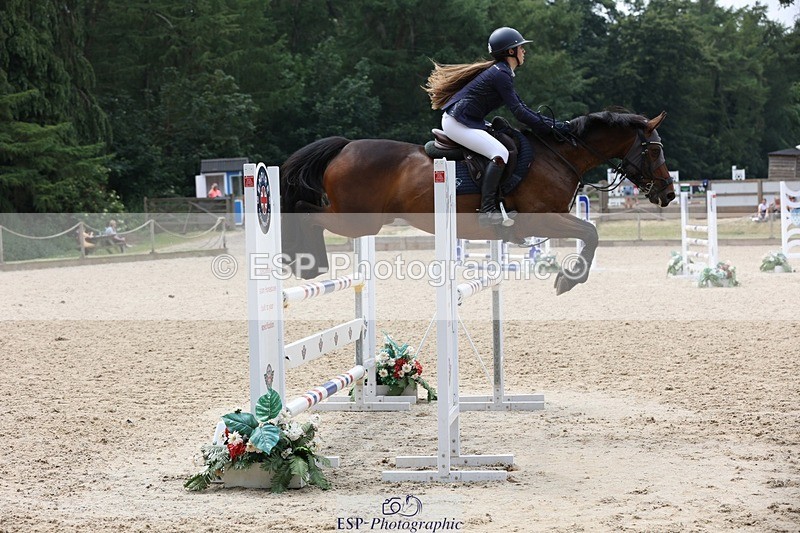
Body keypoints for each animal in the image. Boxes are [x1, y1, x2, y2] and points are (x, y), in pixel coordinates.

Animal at [279, 110, 675, 295]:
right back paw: (307, 263)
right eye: (654, 150)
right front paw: (568, 280)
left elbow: (590, 233)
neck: (557, 155)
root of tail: (345, 147)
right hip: (359, 220)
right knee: (303, 212)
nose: (668, 193)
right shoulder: (542, 218)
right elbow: (591, 233)